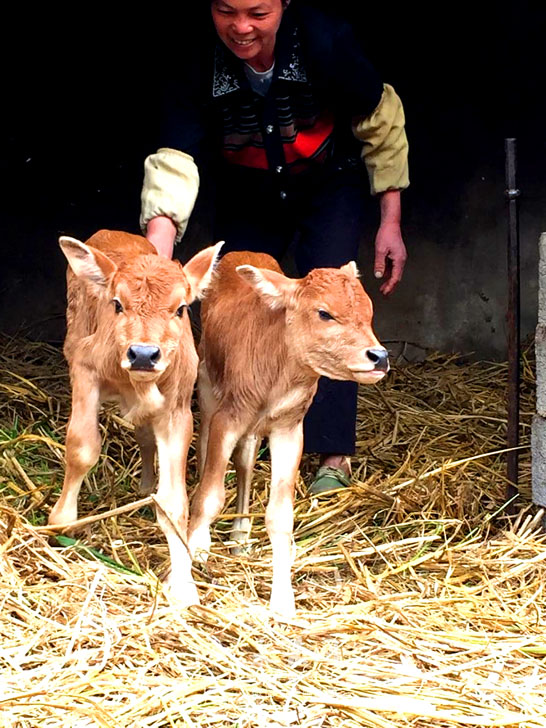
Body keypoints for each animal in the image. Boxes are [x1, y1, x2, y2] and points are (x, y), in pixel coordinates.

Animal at [49, 230, 222, 604]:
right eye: (117, 304)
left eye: (180, 308)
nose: (143, 353)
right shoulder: (84, 370)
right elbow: (82, 449)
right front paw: (61, 520)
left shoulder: (177, 411)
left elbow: (173, 502)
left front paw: (183, 584)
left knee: (144, 436)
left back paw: (144, 485)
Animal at [187, 253, 386, 616]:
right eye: (324, 313)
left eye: (369, 311)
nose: (379, 357)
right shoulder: (228, 417)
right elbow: (210, 495)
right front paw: (193, 552)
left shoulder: (289, 428)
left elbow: (280, 515)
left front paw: (282, 600)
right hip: (208, 386)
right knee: (208, 451)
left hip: (254, 428)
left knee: (246, 463)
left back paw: (240, 536)